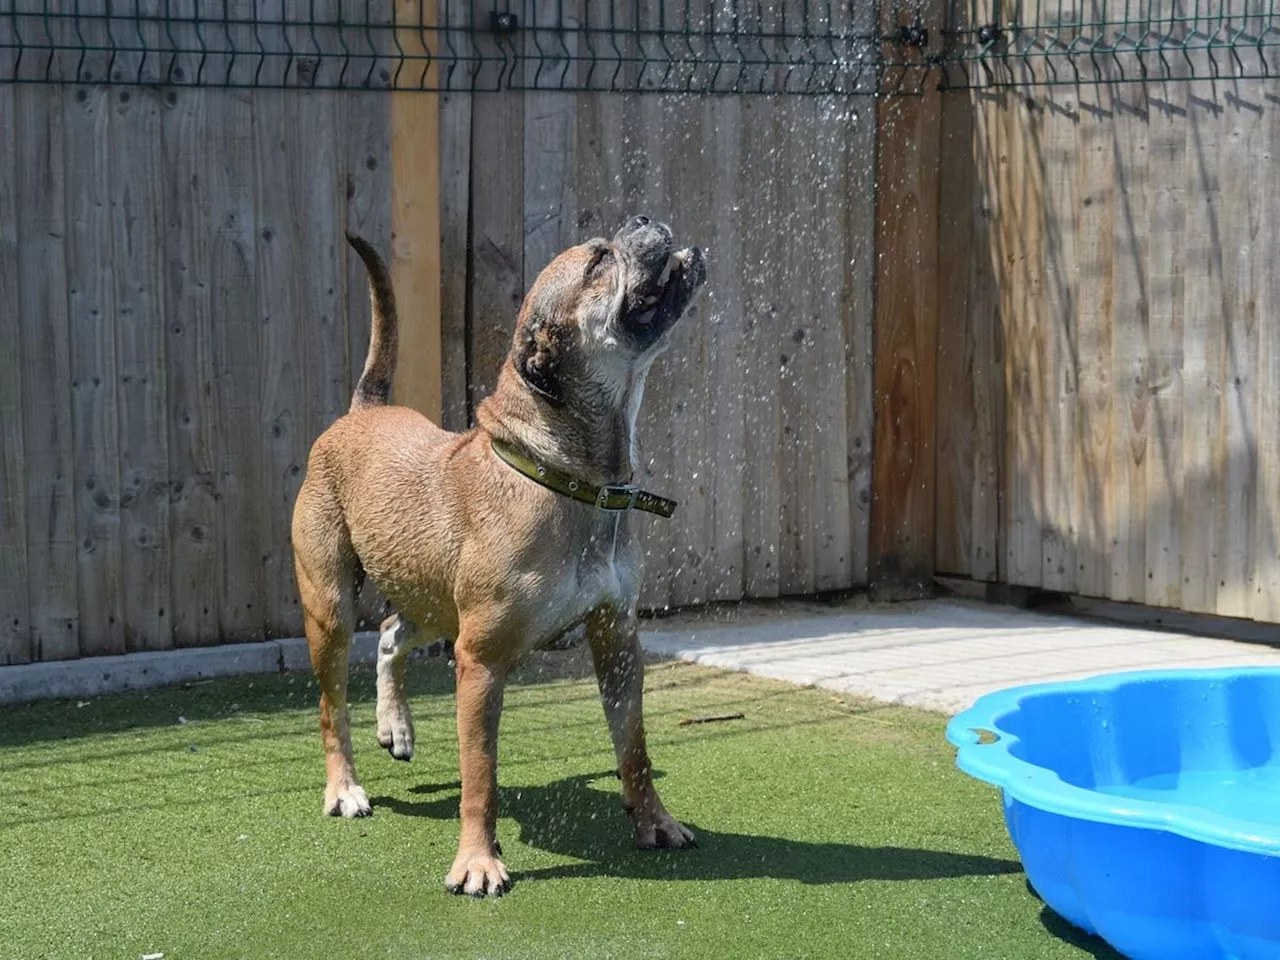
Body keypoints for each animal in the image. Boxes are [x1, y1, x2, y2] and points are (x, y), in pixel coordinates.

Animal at [293, 216, 711, 896]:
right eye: (598, 261)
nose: (643, 220)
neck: (566, 478)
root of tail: (362, 411)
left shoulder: (617, 641)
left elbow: (635, 749)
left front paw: (655, 821)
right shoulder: (481, 661)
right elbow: (480, 775)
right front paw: (477, 862)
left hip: (432, 598)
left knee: (390, 631)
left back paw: (396, 726)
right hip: (329, 607)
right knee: (333, 706)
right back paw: (345, 788)